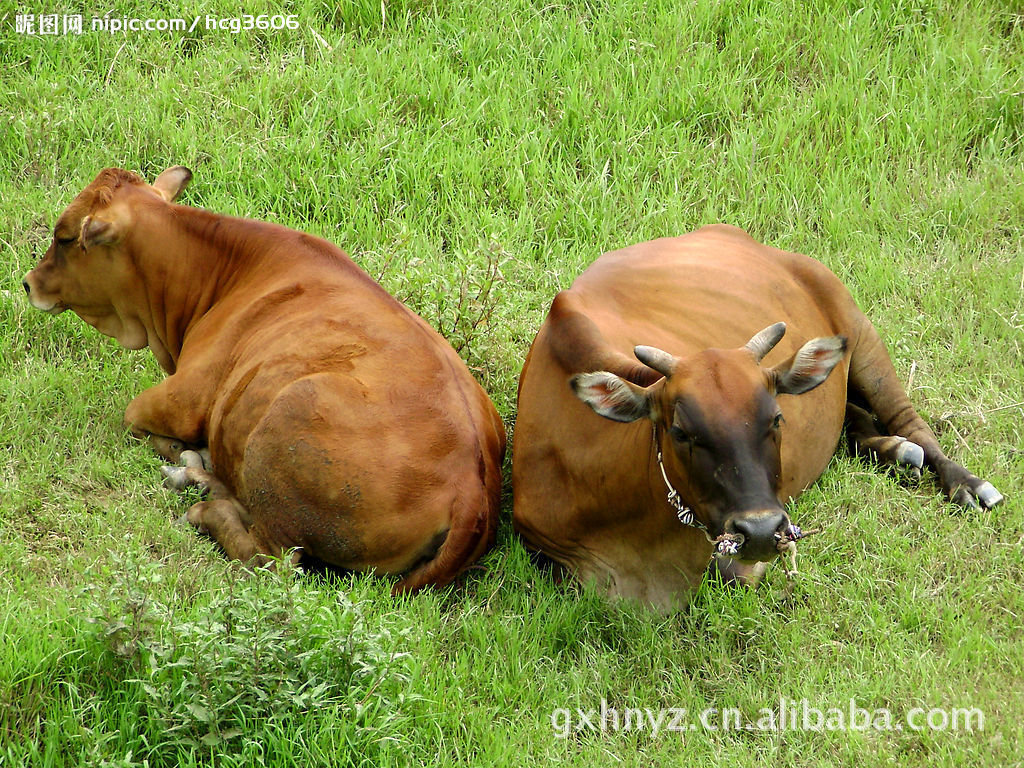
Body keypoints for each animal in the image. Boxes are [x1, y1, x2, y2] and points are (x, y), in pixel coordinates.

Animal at [23, 165, 503, 593]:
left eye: (63, 238)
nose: (29, 283)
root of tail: (471, 488)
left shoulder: (181, 399)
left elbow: (135, 417)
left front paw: (181, 454)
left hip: (289, 422)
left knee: (272, 559)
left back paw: (201, 502)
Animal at [512, 225, 999, 610]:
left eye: (776, 420)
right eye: (681, 432)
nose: (762, 530)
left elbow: (730, 573)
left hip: (860, 331)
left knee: (909, 420)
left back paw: (963, 482)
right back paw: (894, 450)